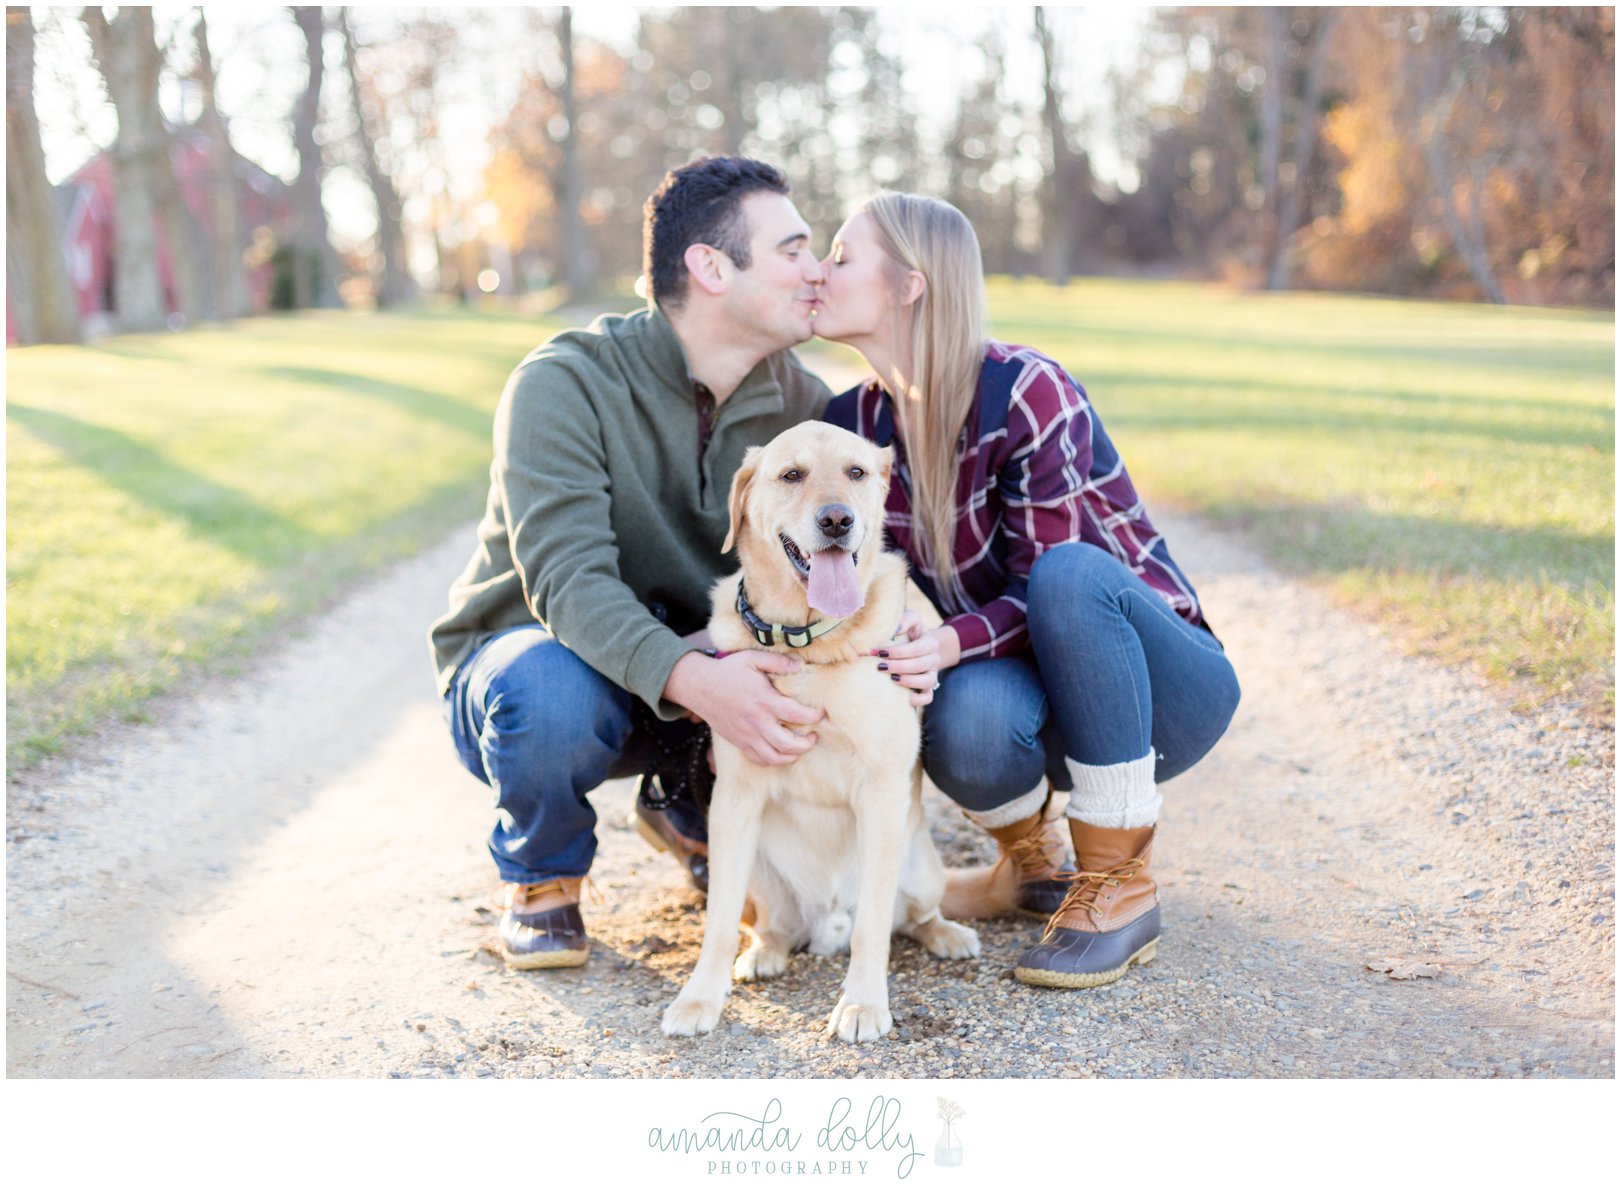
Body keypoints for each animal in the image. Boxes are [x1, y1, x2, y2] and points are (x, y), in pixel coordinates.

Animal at [658, 418, 972, 1038]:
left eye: (856, 472)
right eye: (791, 474)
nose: (836, 520)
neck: (806, 644)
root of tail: (826, 923)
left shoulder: (882, 791)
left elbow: (873, 924)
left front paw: (864, 1004)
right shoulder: (735, 798)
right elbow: (718, 920)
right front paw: (700, 998)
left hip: (922, 868)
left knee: (911, 916)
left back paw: (947, 933)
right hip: (755, 869)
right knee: (767, 924)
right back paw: (765, 953)